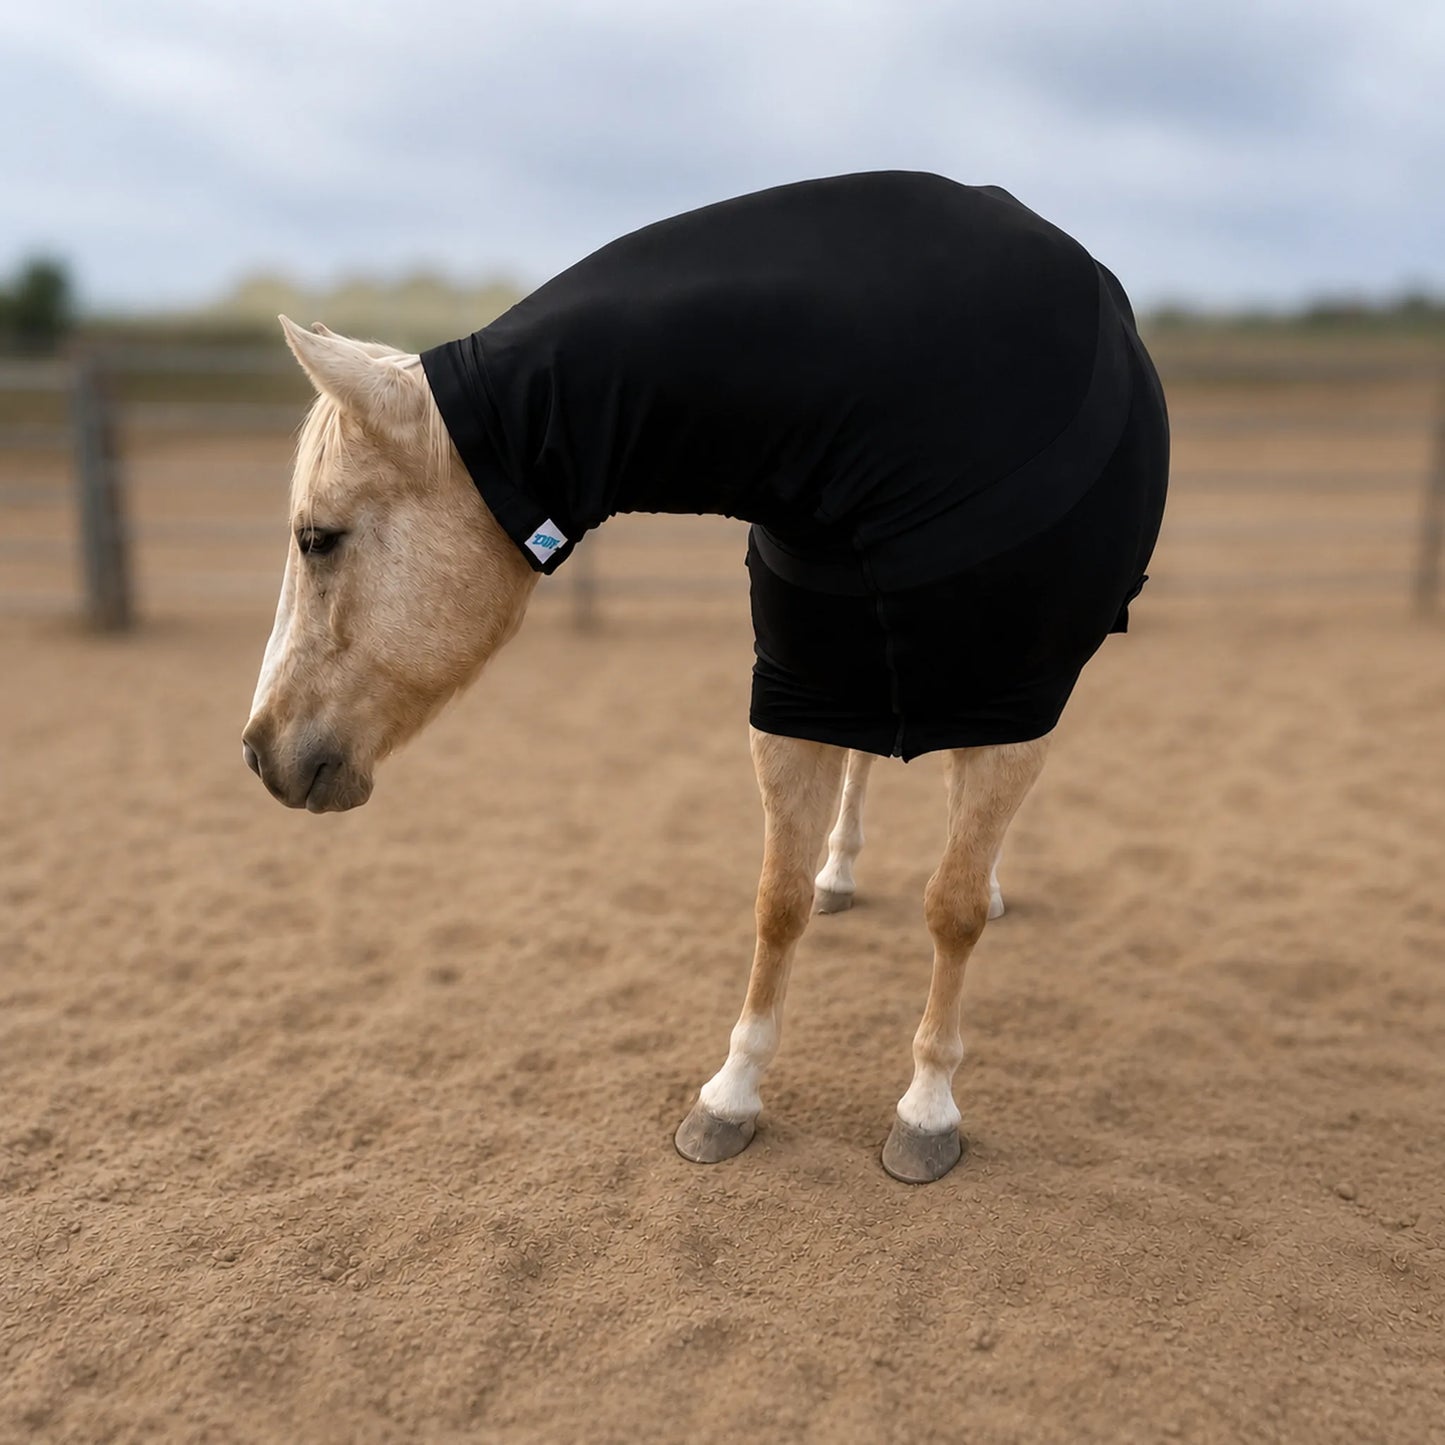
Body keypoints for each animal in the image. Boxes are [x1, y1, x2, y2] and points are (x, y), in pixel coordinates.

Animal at [243, 174, 1167, 1183]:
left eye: (317, 538)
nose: (258, 749)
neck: (898, 404)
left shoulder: (1011, 701)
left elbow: (952, 909)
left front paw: (927, 1107)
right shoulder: (795, 690)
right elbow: (777, 899)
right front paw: (731, 1094)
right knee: (864, 765)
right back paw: (844, 870)